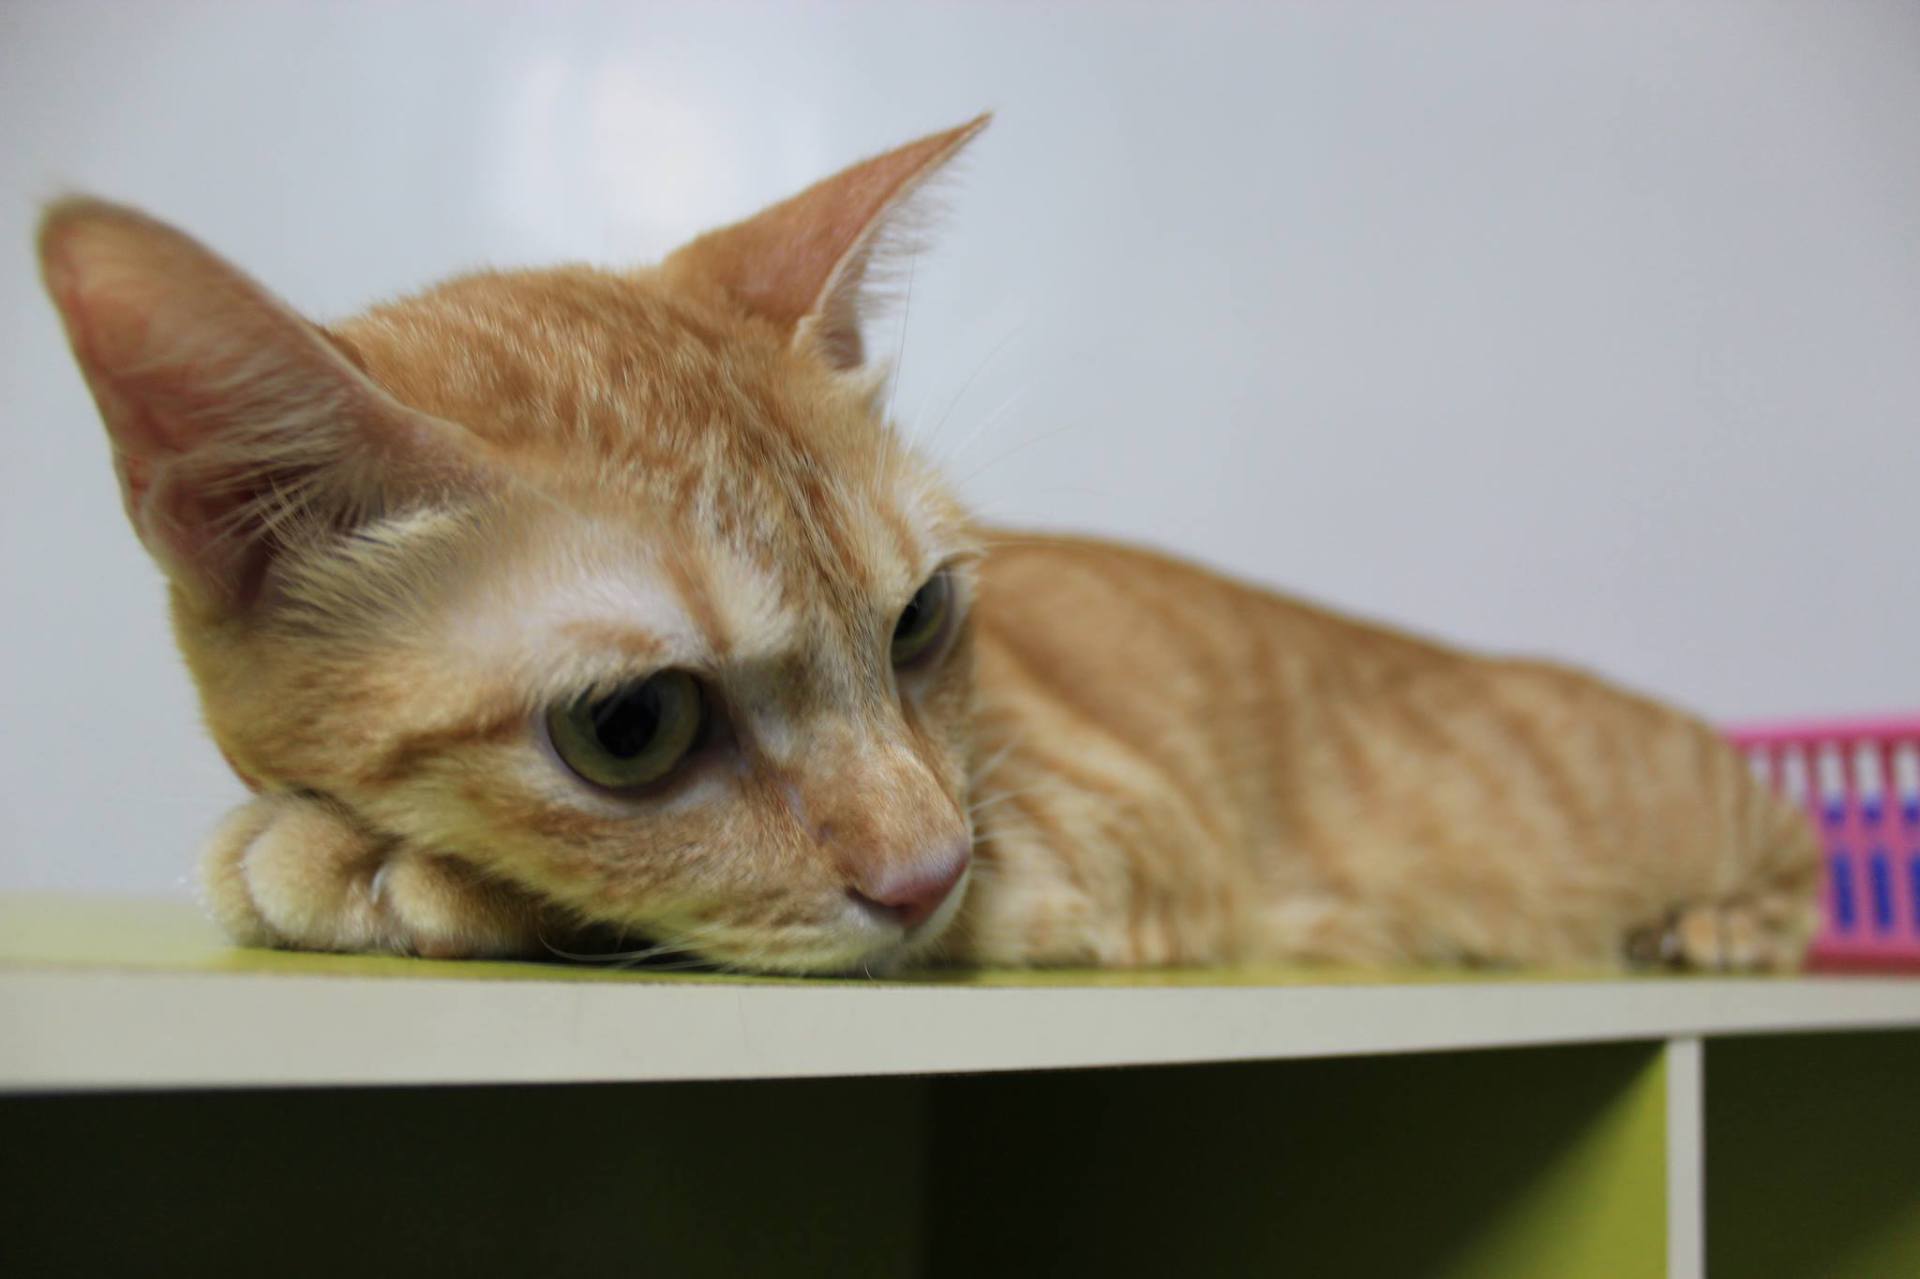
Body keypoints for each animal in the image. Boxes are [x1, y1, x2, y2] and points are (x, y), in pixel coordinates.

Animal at [37, 117, 1820, 975]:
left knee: (1798, 856)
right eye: (633, 725)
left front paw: (380, 868)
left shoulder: (1098, 841)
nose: (926, 867)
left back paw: (1725, 923)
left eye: (918, 622)